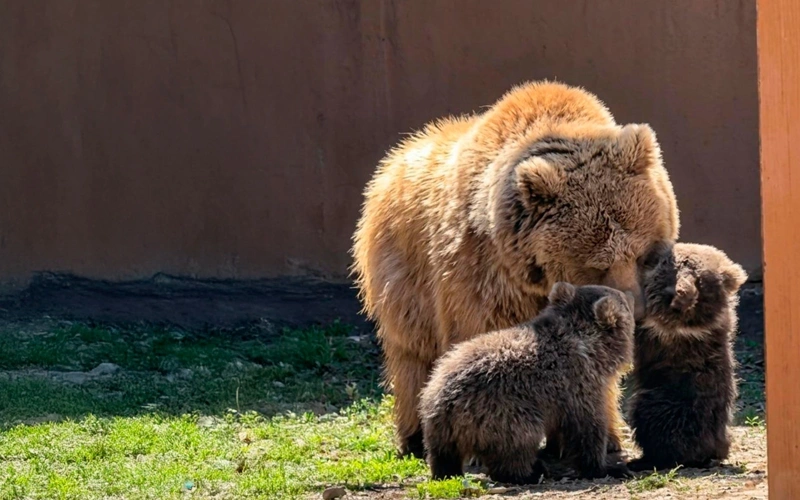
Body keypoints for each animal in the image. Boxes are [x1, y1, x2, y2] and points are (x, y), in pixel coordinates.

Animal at [351, 80, 680, 458]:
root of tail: (394, 159)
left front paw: (604, 437)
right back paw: (416, 436)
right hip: (405, 277)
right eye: (597, 265)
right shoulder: (485, 276)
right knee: (412, 354)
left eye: (645, 256)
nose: (635, 310)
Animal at [418, 282, 636, 484]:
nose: (631, 294)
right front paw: (607, 467)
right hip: (505, 413)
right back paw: (531, 472)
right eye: (624, 301)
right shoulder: (580, 383)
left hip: (437, 426)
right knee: (516, 447)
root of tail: (444, 404)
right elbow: (587, 428)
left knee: (443, 456)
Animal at [625, 242, 747, 471]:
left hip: (663, 406)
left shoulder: (657, 334)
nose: (653, 251)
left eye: (662, 259)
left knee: (650, 422)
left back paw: (645, 459)